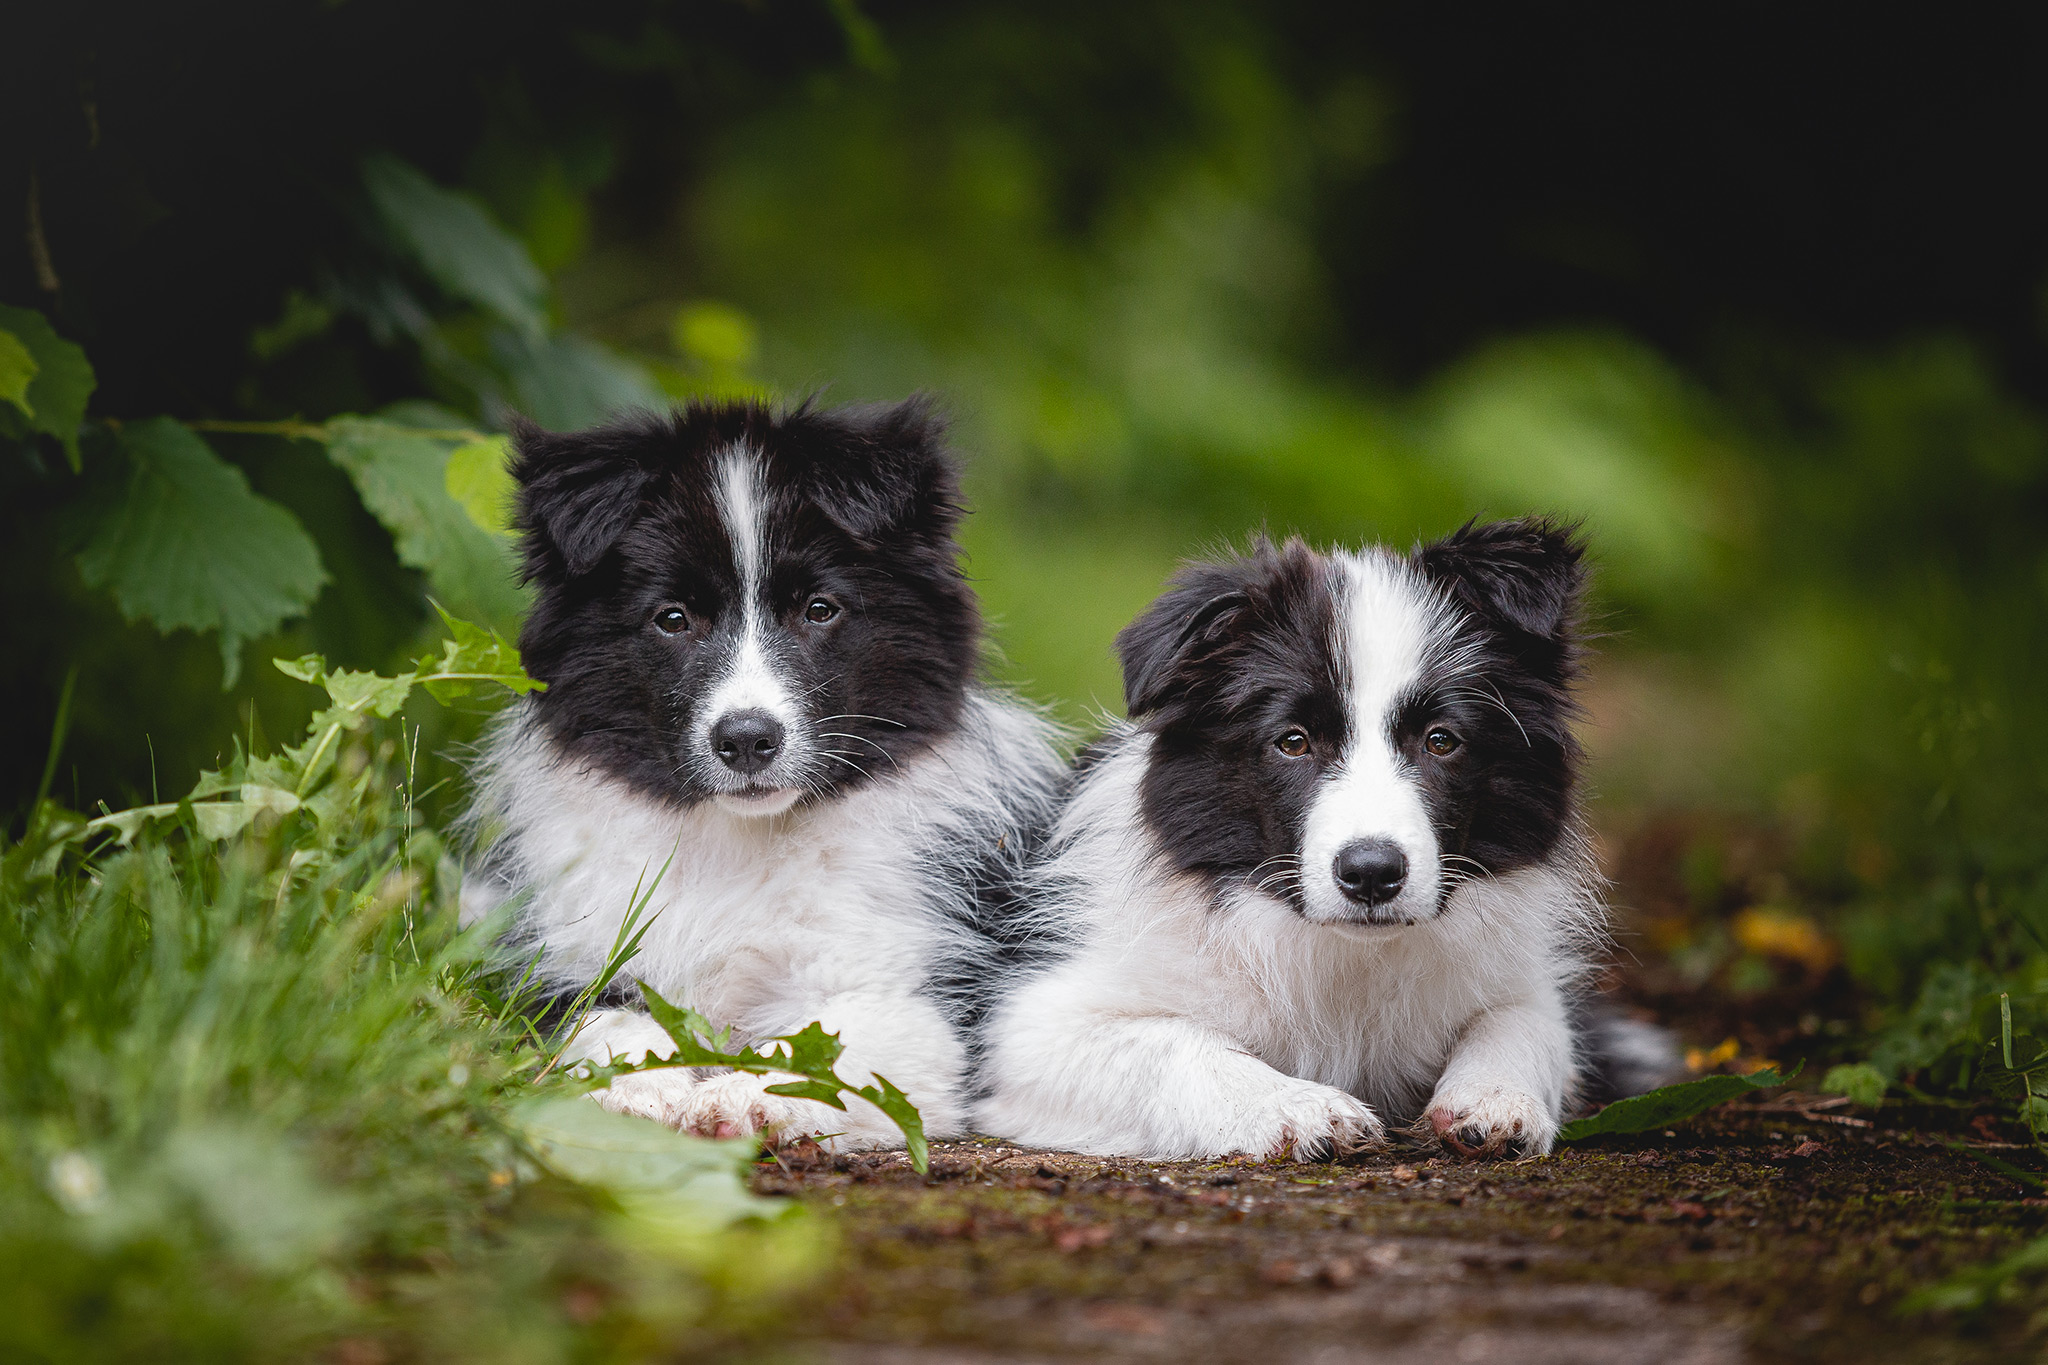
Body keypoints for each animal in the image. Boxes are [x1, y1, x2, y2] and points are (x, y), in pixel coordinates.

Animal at [466, 397, 1064, 1154]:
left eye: (819, 609)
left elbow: (827, 1050)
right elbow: (601, 1018)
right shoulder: (565, 958)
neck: (737, 842)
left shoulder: (913, 993)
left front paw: (749, 1095)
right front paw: (635, 1087)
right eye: (672, 618)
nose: (747, 739)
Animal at [978, 517, 1679, 1162]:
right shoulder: (1027, 1028)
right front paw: (1294, 1105)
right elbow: (1172, 1043)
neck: (1341, 951)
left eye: (1441, 740)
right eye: (1293, 741)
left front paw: (1495, 1098)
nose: (1371, 873)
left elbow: (1529, 1022)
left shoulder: (1519, 982)